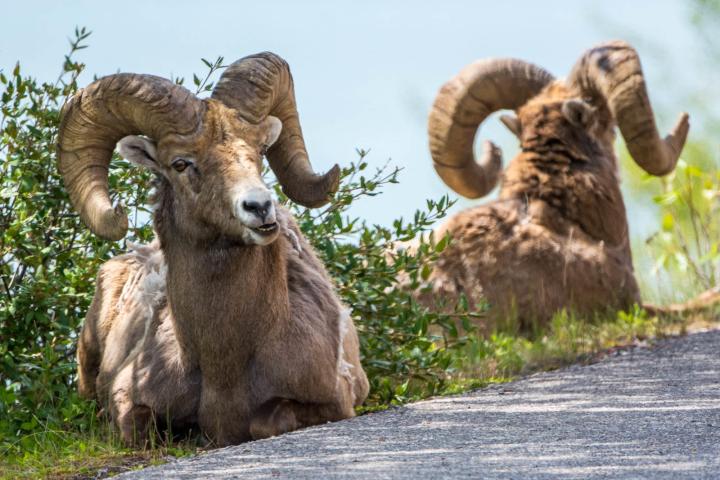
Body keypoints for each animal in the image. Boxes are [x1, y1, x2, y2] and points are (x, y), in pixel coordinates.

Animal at [57, 52, 369, 446]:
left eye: (260, 150)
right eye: (180, 163)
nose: (260, 207)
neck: (224, 365)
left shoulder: (336, 401)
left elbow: (265, 421)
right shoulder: (126, 398)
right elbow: (138, 428)